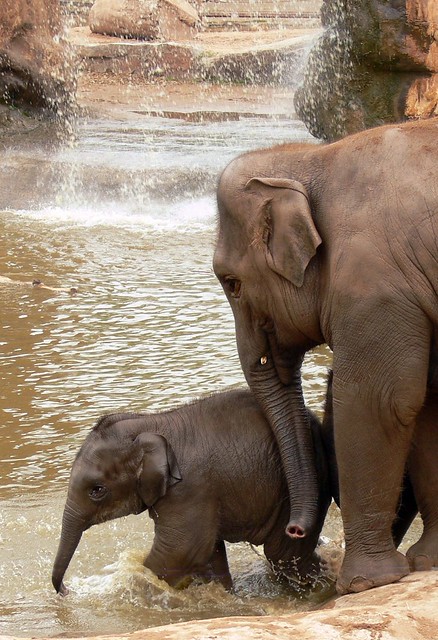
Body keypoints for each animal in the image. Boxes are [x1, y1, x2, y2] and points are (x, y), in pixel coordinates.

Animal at [51, 390, 330, 596]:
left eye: (97, 490)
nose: (67, 590)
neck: (151, 422)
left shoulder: (190, 488)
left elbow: (178, 552)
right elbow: (209, 553)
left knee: (282, 556)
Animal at [213, 119, 438, 596]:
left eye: (233, 284)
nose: (296, 529)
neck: (312, 158)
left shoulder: (374, 288)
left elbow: (381, 401)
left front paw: (365, 583)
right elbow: (428, 404)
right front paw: (427, 562)